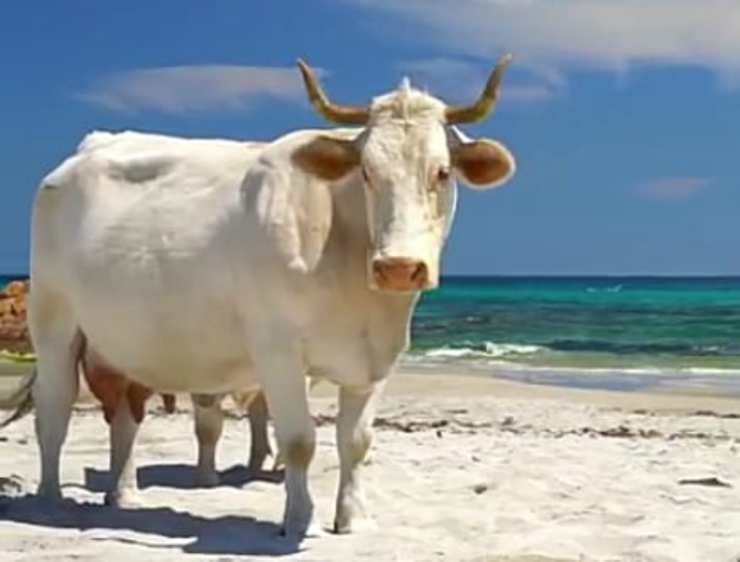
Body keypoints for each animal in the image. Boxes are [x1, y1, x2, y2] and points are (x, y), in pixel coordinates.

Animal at [8, 54, 515, 538]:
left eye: (442, 172)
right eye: (368, 173)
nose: (398, 267)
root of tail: (89, 148)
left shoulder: (375, 358)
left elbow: (356, 442)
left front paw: (354, 519)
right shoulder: (277, 350)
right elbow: (299, 441)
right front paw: (298, 518)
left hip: (125, 341)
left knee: (126, 413)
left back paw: (124, 495)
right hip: (54, 323)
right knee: (53, 410)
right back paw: (50, 500)